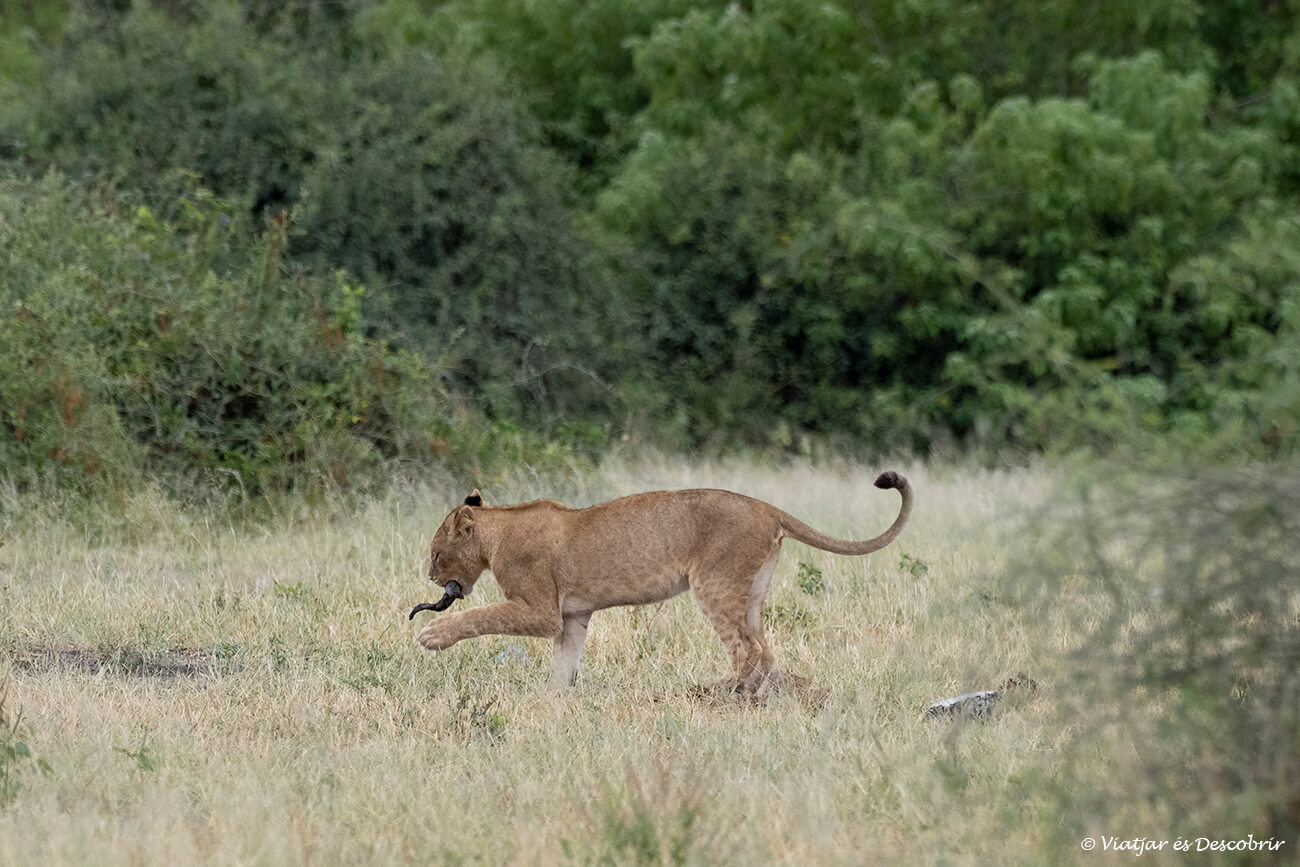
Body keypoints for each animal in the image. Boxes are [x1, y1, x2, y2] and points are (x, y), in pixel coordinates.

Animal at [414, 472, 912, 692]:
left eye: (437, 554)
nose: (432, 576)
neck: (499, 531)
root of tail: (767, 507)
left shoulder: (540, 610)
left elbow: (484, 615)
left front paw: (433, 634)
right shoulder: (573, 615)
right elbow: (564, 661)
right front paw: (554, 699)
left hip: (713, 582)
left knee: (745, 646)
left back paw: (719, 690)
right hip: (752, 589)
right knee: (764, 646)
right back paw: (758, 693)